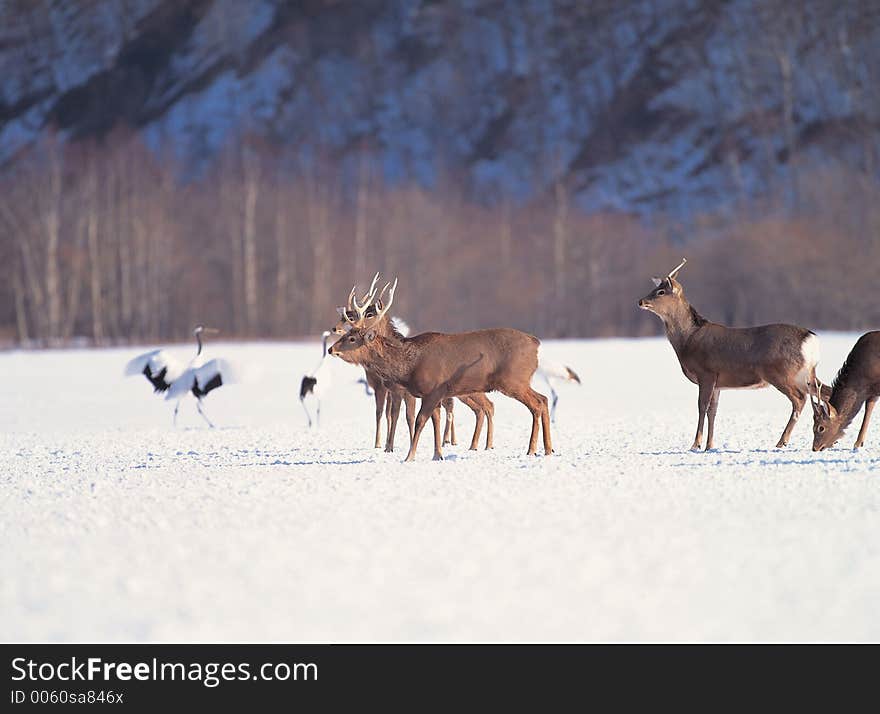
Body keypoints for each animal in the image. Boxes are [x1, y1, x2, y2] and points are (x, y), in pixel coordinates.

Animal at [330, 278, 552, 462]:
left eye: (352, 338)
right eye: (347, 334)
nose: (331, 349)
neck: (408, 365)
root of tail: (536, 343)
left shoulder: (434, 389)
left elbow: (419, 420)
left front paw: (409, 456)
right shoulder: (430, 394)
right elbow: (434, 420)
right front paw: (437, 454)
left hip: (514, 380)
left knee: (535, 404)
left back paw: (532, 449)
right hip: (516, 381)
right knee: (543, 399)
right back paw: (548, 449)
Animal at [636, 258, 828, 450]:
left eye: (660, 292)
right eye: (655, 288)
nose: (640, 301)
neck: (687, 340)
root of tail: (811, 339)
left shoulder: (706, 373)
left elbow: (702, 407)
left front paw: (695, 444)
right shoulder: (718, 383)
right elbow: (713, 411)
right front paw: (710, 445)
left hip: (780, 372)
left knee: (799, 399)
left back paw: (782, 441)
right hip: (806, 374)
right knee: (824, 392)